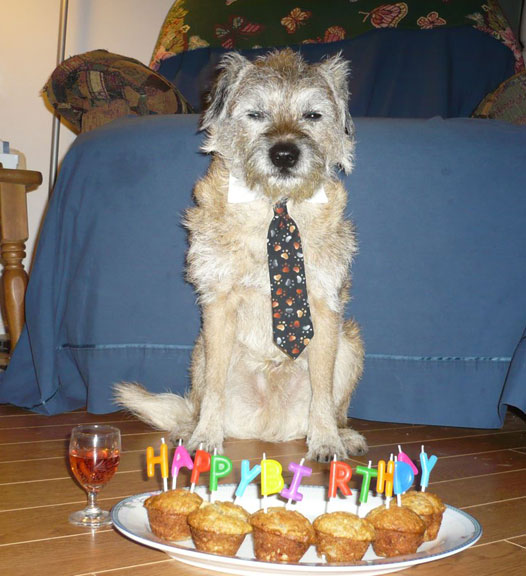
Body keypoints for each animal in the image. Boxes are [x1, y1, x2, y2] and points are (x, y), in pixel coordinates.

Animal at [115, 49, 367, 462]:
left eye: (313, 115)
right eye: (256, 113)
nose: (284, 154)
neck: (275, 204)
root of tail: (269, 430)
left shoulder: (324, 308)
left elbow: (323, 391)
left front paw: (327, 440)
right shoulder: (219, 305)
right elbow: (215, 388)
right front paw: (206, 437)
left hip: (350, 343)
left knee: (332, 402)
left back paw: (342, 435)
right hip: (199, 355)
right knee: (198, 402)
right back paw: (189, 431)